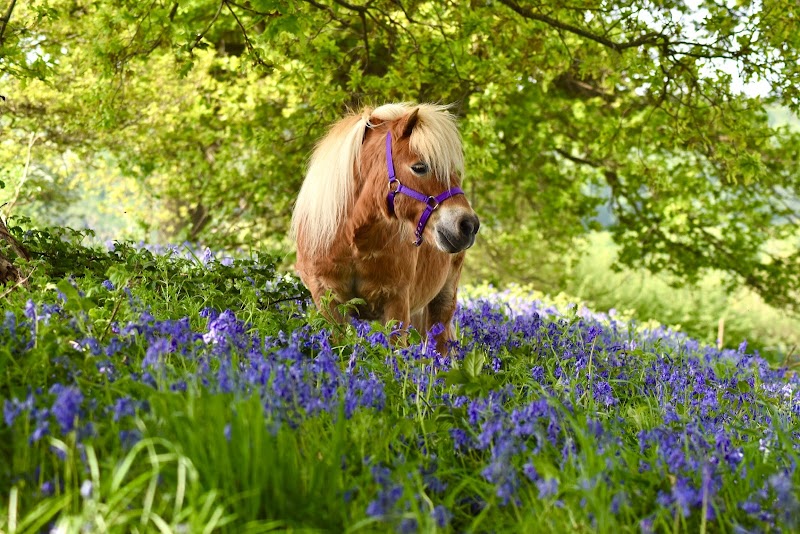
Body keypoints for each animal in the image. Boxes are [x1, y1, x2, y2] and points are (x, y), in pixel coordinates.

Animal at [290, 103, 480, 354]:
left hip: (443, 301)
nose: (468, 225)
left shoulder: (396, 303)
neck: (353, 240)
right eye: (419, 167)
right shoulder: (328, 300)